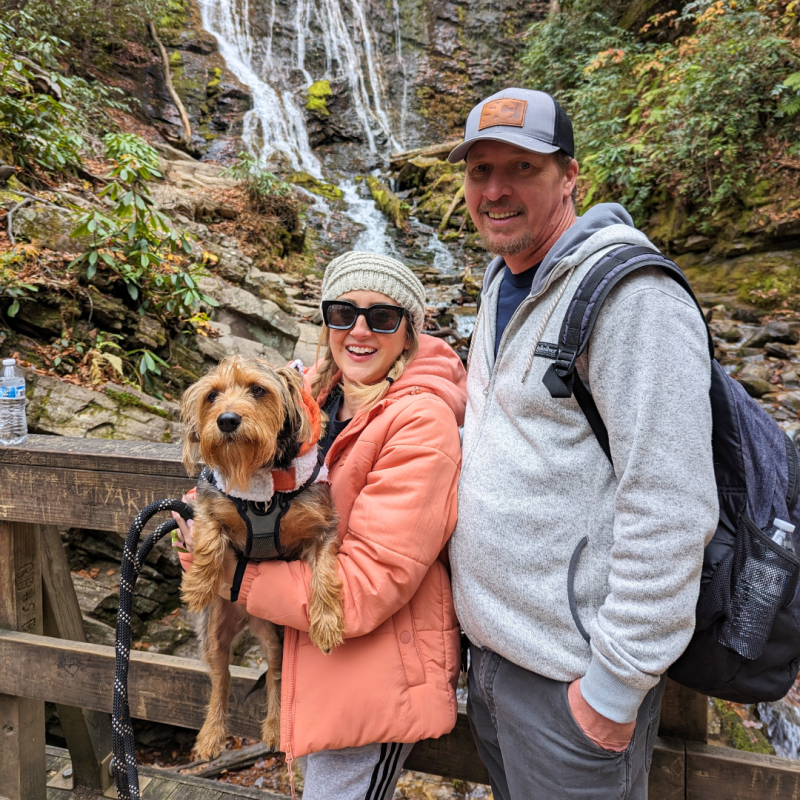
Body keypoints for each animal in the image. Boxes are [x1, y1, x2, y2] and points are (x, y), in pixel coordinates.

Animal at [180, 356, 346, 764]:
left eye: (258, 390)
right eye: (212, 396)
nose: (227, 420)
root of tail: (246, 616)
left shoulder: (320, 528)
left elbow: (324, 573)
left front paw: (327, 624)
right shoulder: (207, 503)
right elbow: (208, 537)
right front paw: (198, 584)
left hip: (272, 634)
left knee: (274, 674)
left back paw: (273, 728)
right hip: (213, 632)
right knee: (220, 679)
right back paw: (211, 734)